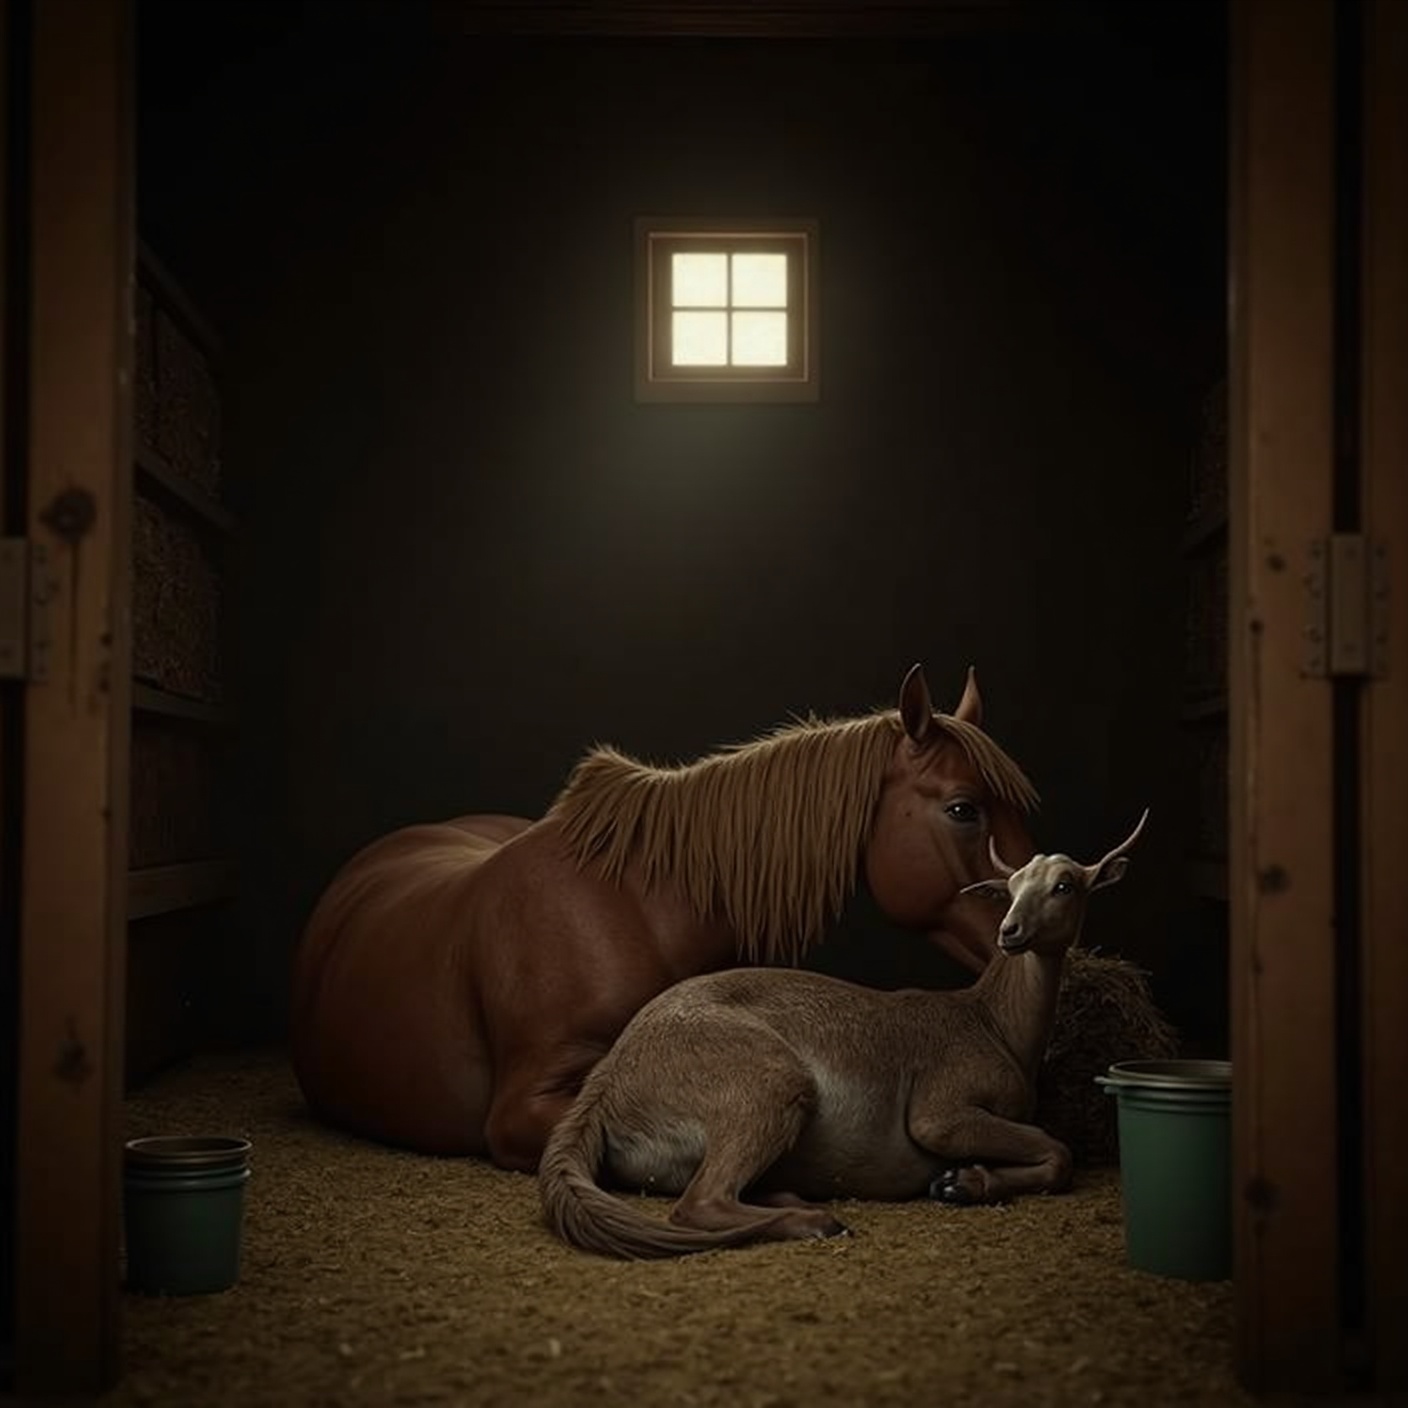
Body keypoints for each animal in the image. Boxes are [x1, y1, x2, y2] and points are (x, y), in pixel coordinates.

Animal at [538, 810, 1149, 1259]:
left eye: (1065, 885)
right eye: (1014, 887)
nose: (1010, 930)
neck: (990, 1021)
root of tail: (606, 1085)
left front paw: (962, 1183)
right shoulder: (942, 1115)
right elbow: (1059, 1152)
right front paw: (960, 1181)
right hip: (770, 1085)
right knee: (699, 1204)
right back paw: (816, 1219)